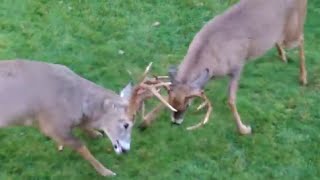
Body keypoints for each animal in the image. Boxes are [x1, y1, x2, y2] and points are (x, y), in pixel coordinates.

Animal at [0, 59, 175, 176]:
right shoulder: (52, 125)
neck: (76, 101)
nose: (126, 150)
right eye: (126, 124)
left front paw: (96, 134)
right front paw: (106, 171)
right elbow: (81, 146)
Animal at [140, 0, 308, 134]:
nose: (176, 122)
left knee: (301, 39)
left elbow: (231, 100)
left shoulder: (237, 66)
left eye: (187, 105)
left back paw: (303, 78)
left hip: (292, 32)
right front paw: (145, 121)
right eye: (172, 104)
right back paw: (282, 56)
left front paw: (243, 129)